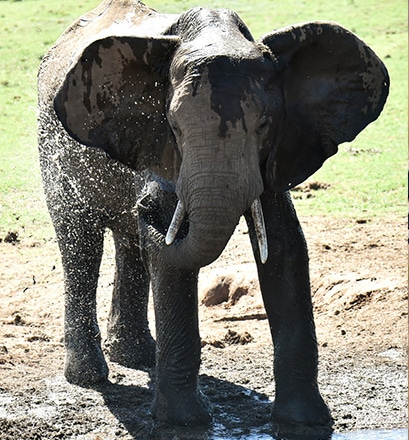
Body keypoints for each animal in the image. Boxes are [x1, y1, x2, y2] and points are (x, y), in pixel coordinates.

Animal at [36, 0, 388, 434]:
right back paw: (90, 377)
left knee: (130, 244)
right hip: (53, 146)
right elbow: (172, 262)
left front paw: (306, 423)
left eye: (264, 125)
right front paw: (185, 423)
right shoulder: (156, 142)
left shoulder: (276, 152)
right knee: (81, 244)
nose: (146, 205)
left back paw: (136, 357)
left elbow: (285, 245)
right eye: (173, 126)